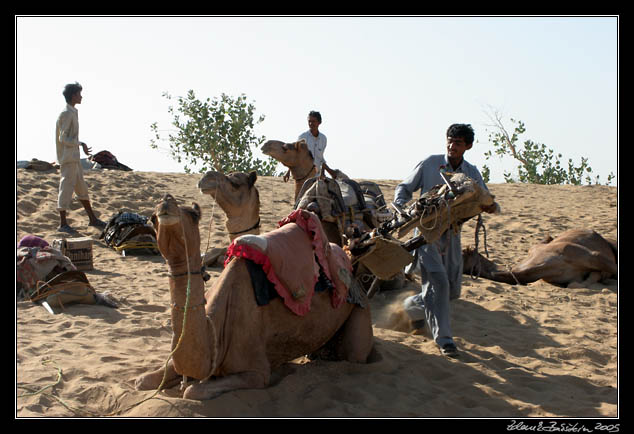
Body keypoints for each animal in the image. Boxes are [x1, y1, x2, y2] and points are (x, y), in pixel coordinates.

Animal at [132, 193, 370, 400]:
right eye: (152, 217)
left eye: (193, 214)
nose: (166, 202)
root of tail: (348, 258)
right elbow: (143, 380)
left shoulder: (256, 372)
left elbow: (193, 391)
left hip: (359, 306)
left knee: (355, 355)